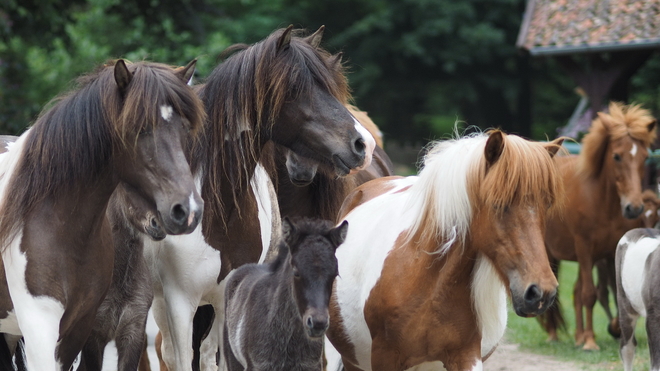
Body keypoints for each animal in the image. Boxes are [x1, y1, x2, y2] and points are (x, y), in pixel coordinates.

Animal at [0, 59, 204, 370]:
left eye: (183, 128)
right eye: (139, 128)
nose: (188, 210)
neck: (59, 226)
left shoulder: (78, 330)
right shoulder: (41, 327)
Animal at [540, 102, 656, 352]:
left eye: (644, 157)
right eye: (616, 156)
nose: (634, 208)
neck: (604, 203)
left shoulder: (611, 252)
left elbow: (616, 294)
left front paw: (614, 329)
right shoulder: (584, 249)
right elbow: (589, 294)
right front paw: (591, 342)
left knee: (576, 292)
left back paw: (578, 336)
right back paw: (556, 335)